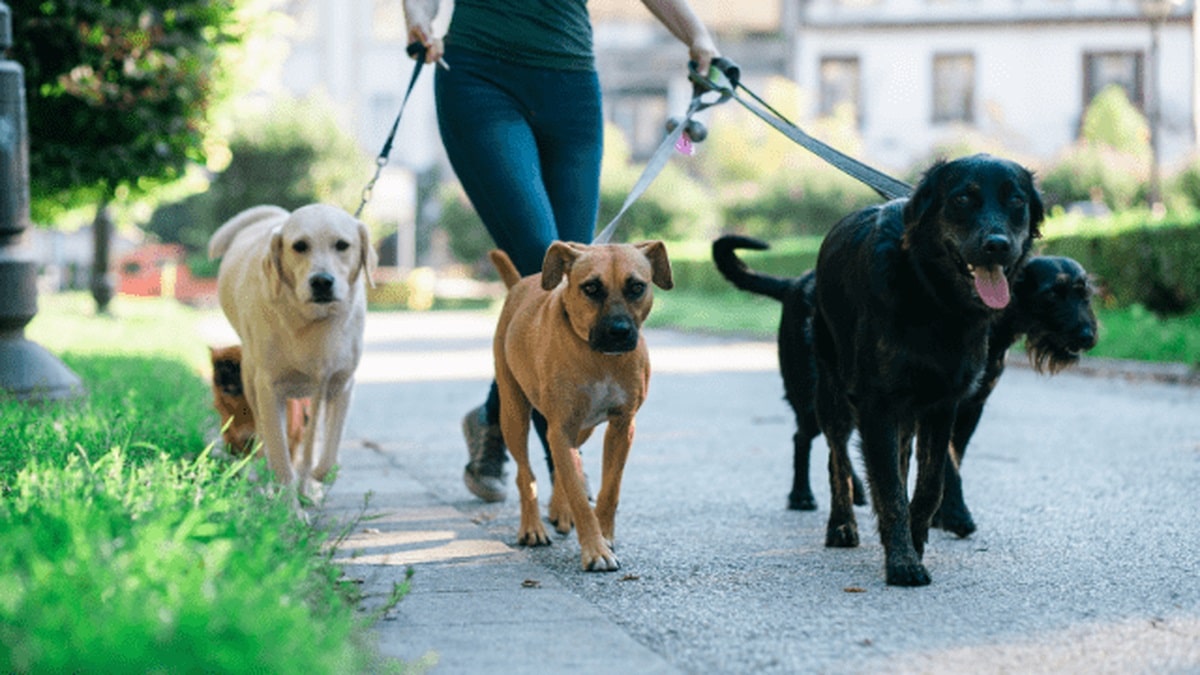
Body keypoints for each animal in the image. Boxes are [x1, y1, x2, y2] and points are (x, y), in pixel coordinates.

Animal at [207, 201, 374, 502]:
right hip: (251, 379)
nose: (322, 281)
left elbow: (326, 454)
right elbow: (280, 458)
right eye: (299, 246)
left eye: (342, 245)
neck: (312, 322)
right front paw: (287, 506)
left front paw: (317, 479)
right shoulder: (269, 388)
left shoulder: (339, 384)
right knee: (265, 439)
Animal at [489, 239, 676, 569]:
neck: (599, 358)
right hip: (514, 414)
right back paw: (532, 527)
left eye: (636, 287)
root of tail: (519, 284)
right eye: (590, 288)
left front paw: (605, 535)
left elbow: (609, 489)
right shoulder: (561, 427)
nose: (618, 331)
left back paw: (559, 510)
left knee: (565, 464)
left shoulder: (621, 426)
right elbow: (578, 494)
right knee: (526, 474)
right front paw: (595, 549)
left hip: (582, 429)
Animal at [710, 236, 1099, 530]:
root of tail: (794, 284)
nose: (1088, 336)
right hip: (811, 392)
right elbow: (949, 464)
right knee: (804, 437)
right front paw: (956, 516)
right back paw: (801, 495)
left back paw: (856, 490)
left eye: (1084, 293)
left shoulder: (970, 406)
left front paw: (941, 513)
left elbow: (949, 459)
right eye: (1051, 295)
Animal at [816, 153, 1041, 583]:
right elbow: (889, 488)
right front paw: (903, 562)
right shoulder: (877, 405)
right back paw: (841, 525)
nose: (997, 246)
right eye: (962, 199)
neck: (934, 298)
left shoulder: (943, 405)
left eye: (1016, 201)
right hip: (833, 394)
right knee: (837, 458)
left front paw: (914, 542)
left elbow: (929, 484)